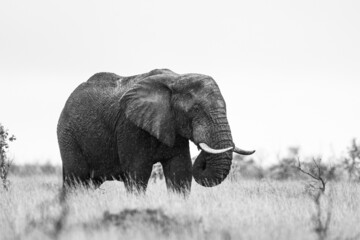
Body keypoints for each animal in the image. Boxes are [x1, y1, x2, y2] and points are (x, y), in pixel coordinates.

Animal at [56, 69, 255, 193]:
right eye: (196, 109)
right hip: (67, 135)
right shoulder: (130, 126)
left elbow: (180, 171)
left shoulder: (173, 127)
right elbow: (138, 173)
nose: (201, 148)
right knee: (75, 179)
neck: (176, 79)